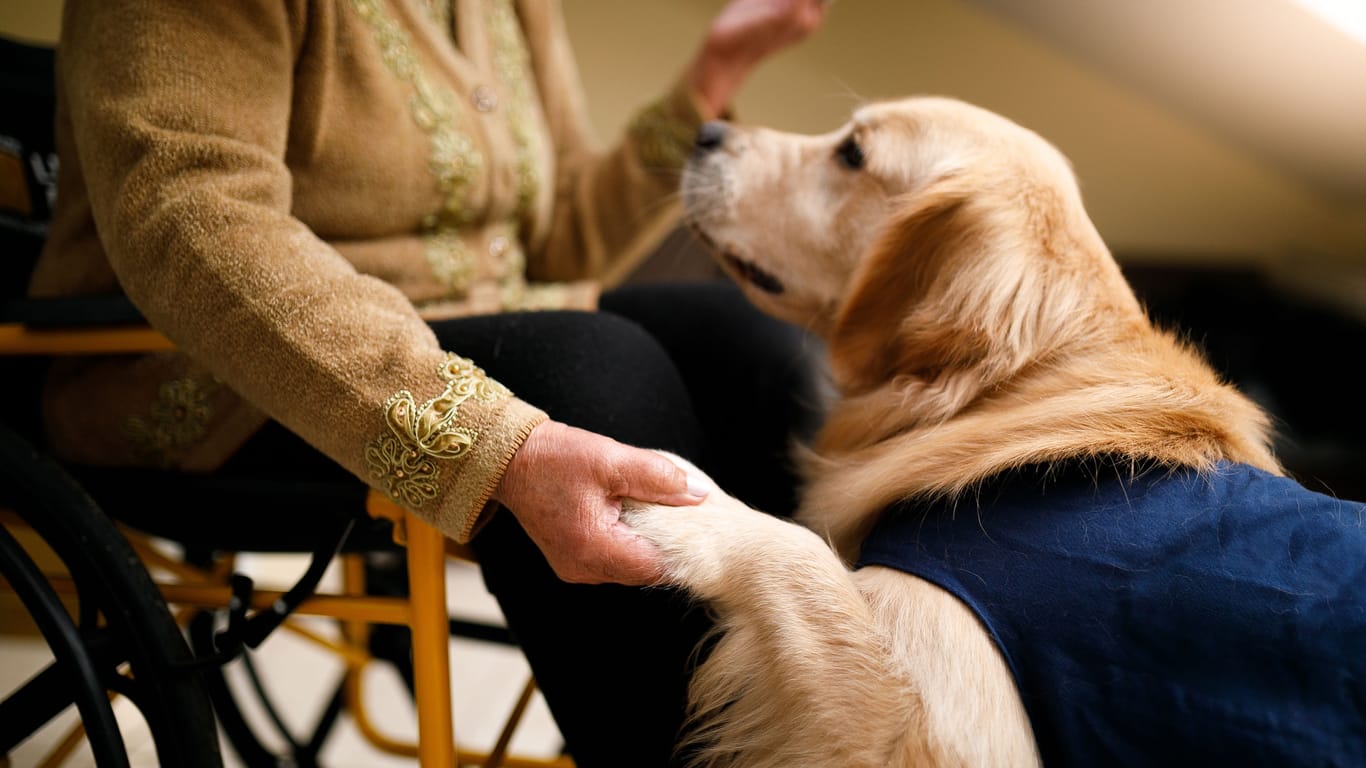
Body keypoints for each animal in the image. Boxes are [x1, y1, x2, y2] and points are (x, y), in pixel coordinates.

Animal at [622, 97, 1366, 765]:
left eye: (853, 153)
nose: (706, 131)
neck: (1006, 389)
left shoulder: (956, 718)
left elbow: (801, 555)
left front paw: (695, 509)